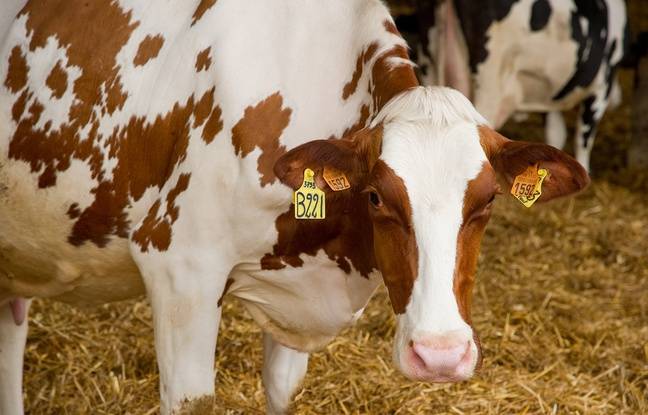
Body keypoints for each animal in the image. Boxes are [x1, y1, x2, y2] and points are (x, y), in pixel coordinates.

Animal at [399, 0, 628, 172]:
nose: (618, 99)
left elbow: (555, 133)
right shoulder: (602, 85)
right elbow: (583, 138)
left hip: (431, 63)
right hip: (489, 86)